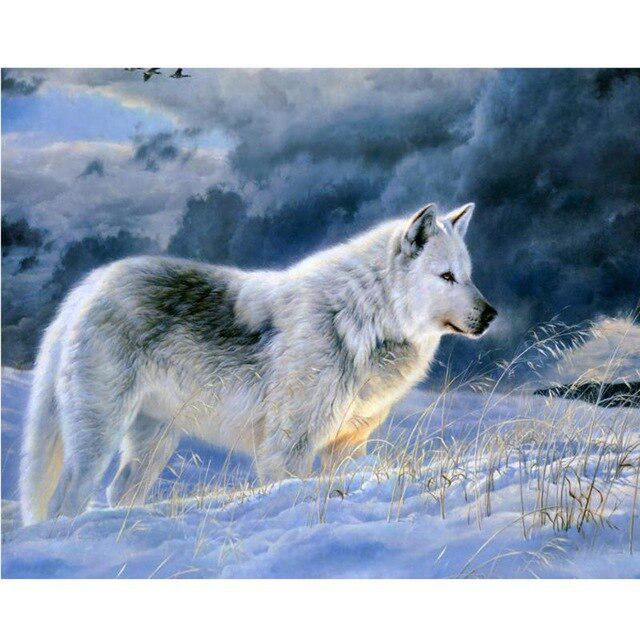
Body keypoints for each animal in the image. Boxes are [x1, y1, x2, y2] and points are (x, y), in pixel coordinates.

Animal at [20, 202, 496, 525]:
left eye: (469, 275)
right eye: (446, 277)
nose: (492, 315)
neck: (360, 318)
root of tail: (88, 286)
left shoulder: (348, 445)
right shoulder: (287, 449)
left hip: (153, 444)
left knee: (119, 493)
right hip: (98, 436)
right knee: (66, 500)